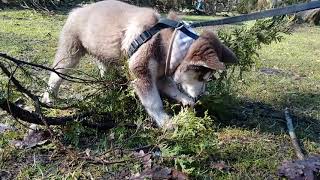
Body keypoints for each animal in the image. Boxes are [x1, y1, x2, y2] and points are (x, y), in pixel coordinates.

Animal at [42, 0, 238, 127]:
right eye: (202, 77)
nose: (200, 96)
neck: (165, 42)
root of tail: (77, 9)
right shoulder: (140, 70)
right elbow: (153, 100)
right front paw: (164, 120)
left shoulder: (160, 73)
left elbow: (171, 88)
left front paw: (185, 99)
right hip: (70, 52)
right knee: (55, 75)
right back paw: (49, 97)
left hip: (102, 53)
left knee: (104, 68)